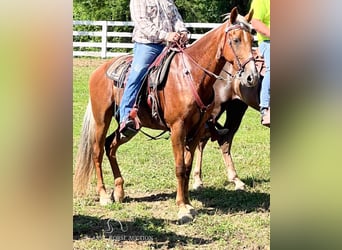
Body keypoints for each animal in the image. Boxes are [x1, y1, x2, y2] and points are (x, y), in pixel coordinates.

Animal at [74, 7, 256, 223]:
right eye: (235, 39)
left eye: (252, 40)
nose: (252, 77)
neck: (190, 76)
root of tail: (99, 70)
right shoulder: (178, 128)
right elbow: (179, 168)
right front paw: (182, 208)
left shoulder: (196, 130)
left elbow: (187, 166)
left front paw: (188, 203)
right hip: (102, 118)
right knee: (98, 151)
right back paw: (103, 195)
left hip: (129, 127)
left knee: (111, 145)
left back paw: (119, 191)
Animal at [192, 53, 264, 189]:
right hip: (216, 110)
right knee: (202, 141)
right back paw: (198, 180)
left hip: (236, 108)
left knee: (224, 140)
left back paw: (236, 180)